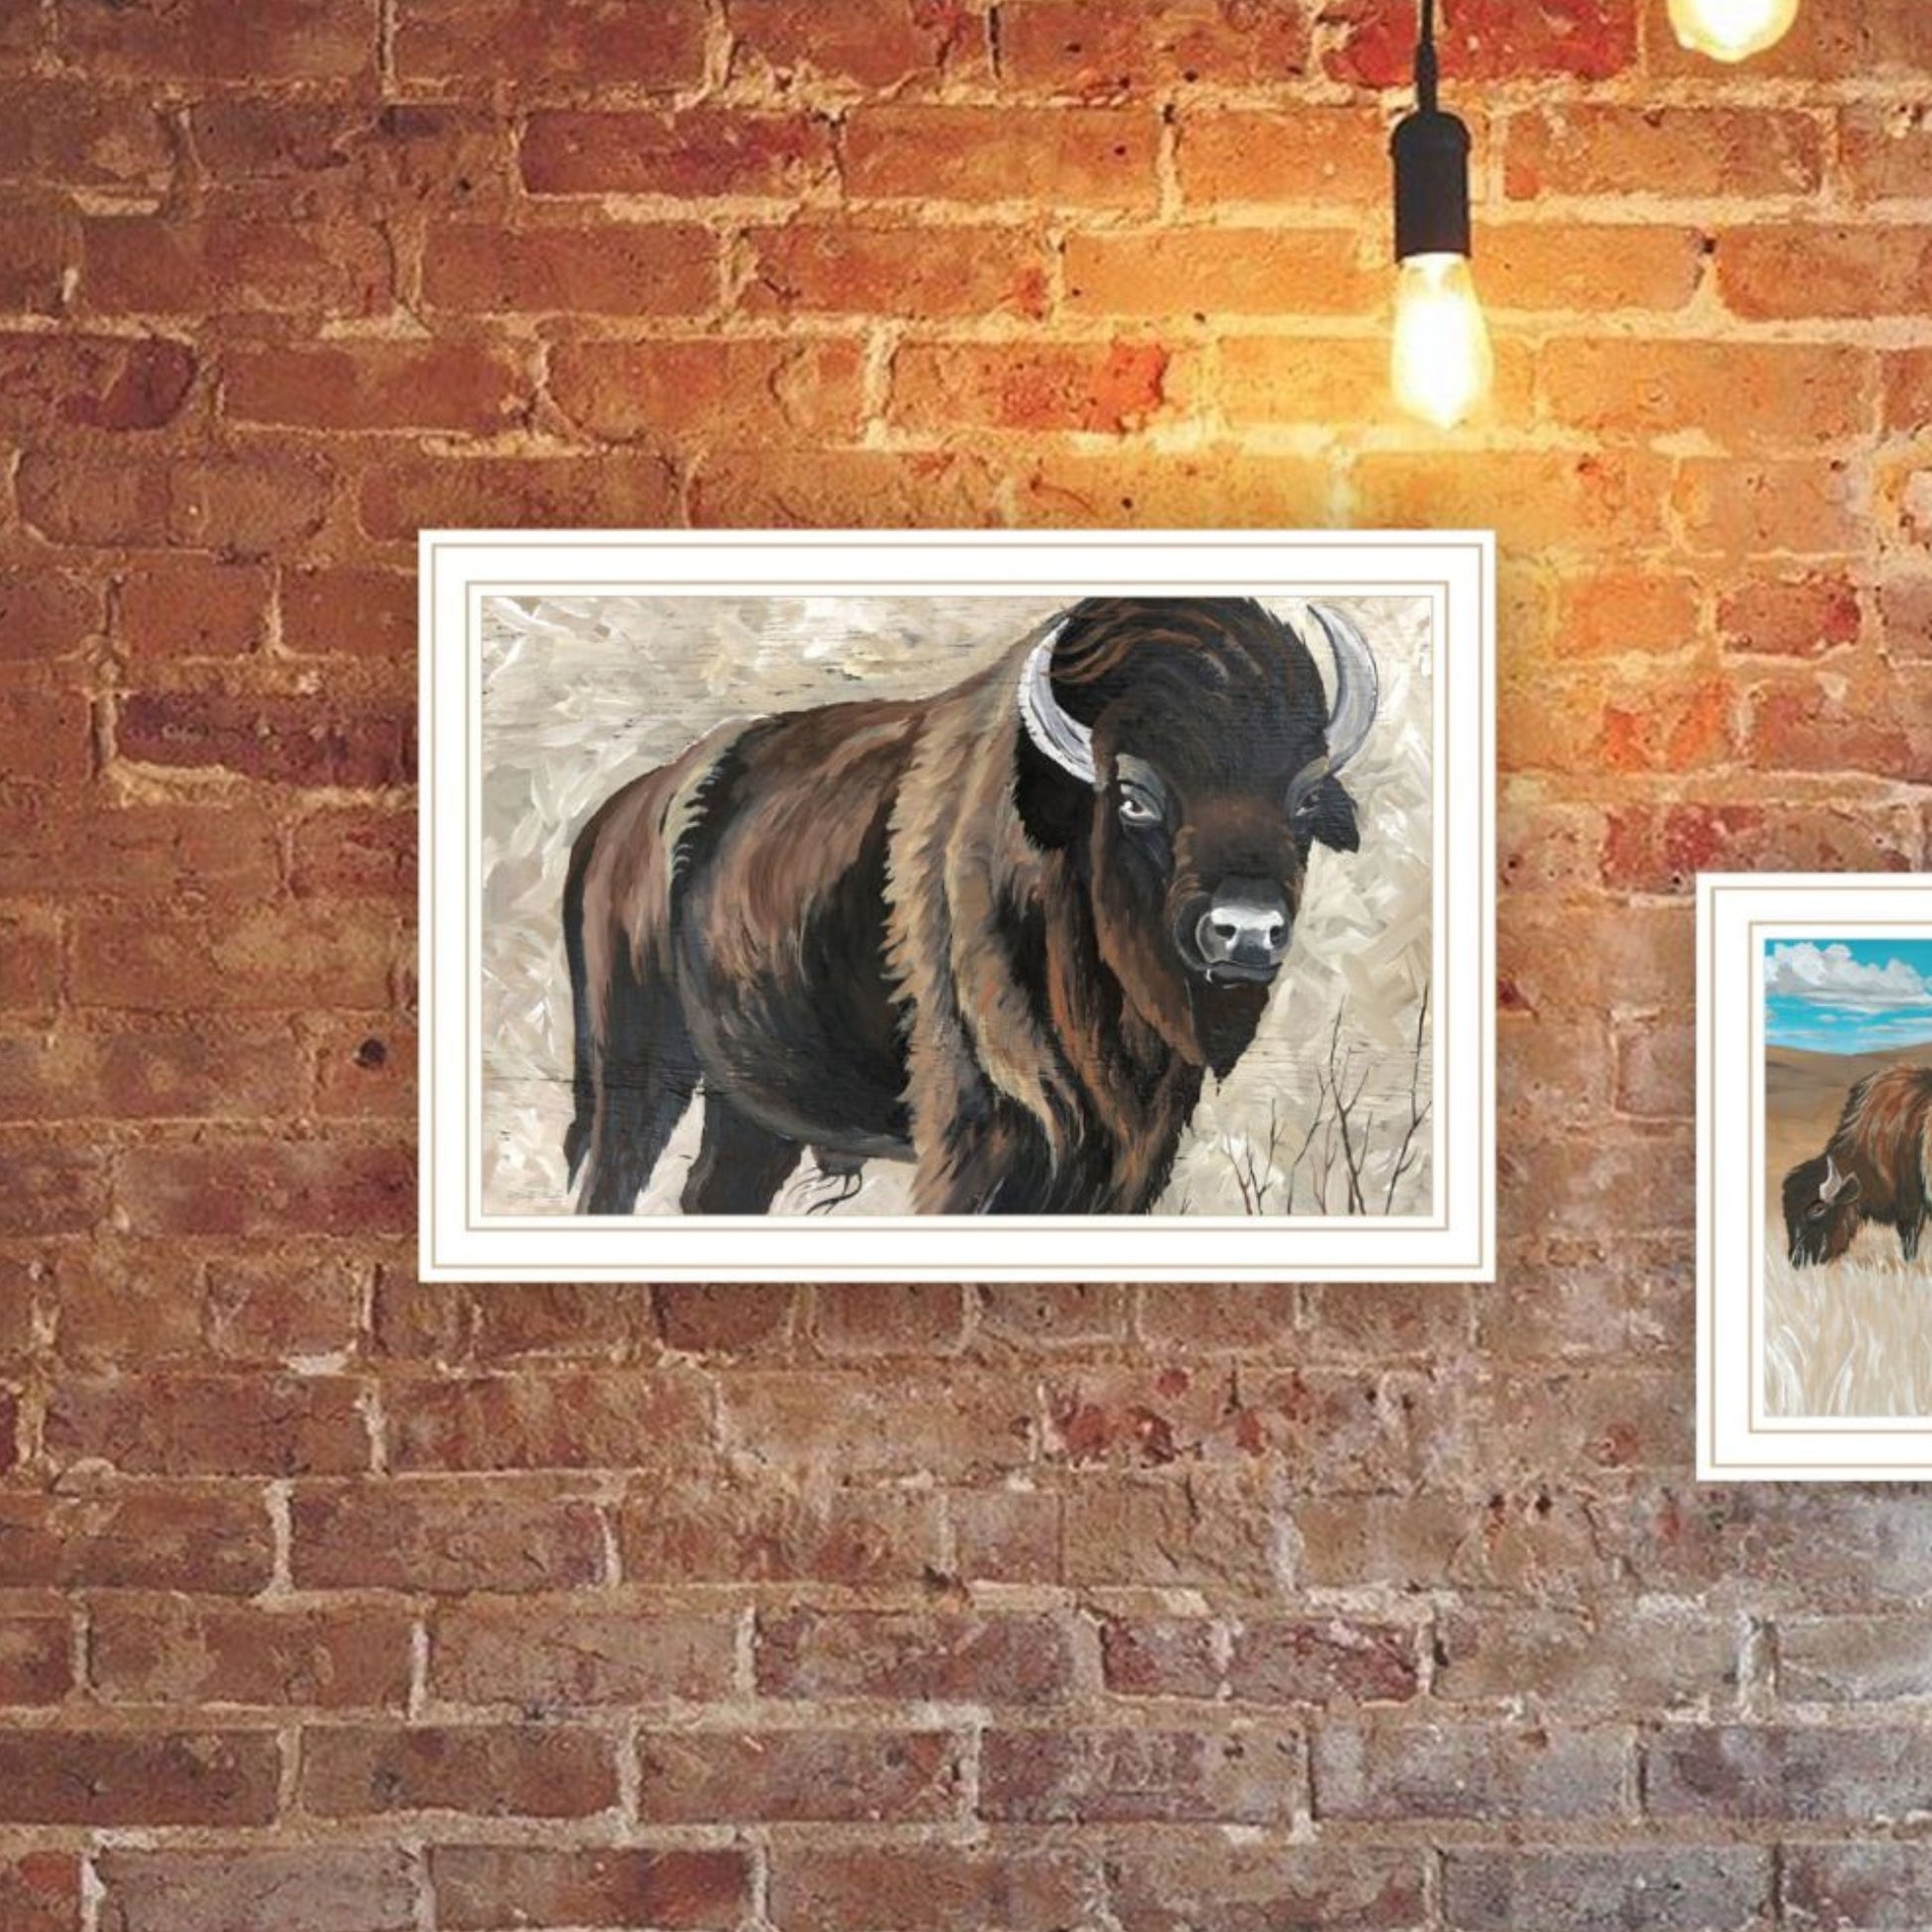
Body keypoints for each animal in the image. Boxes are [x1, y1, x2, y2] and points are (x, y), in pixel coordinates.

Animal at [562, 595, 1379, 1216]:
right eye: (1135, 797)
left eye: (1305, 800)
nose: (1248, 931)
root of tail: (621, 815)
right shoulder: (982, 1139)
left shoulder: (1131, 1153)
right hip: (634, 1069)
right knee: (612, 1178)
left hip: (753, 1108)